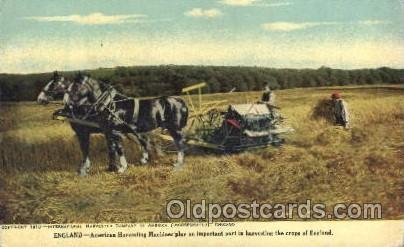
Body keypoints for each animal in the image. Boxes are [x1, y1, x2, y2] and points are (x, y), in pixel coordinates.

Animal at [37, 72, 189, 176]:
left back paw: (178, 163)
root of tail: (180, 101)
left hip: (175, 129)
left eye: (52, 84)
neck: (108, 105)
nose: (40, 99)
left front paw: (121, 168)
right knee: (146, 142)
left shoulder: (110, 132)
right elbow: (112, 149)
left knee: (179, 145)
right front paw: (111, 167)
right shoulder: (108, 131)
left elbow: (116, 149)